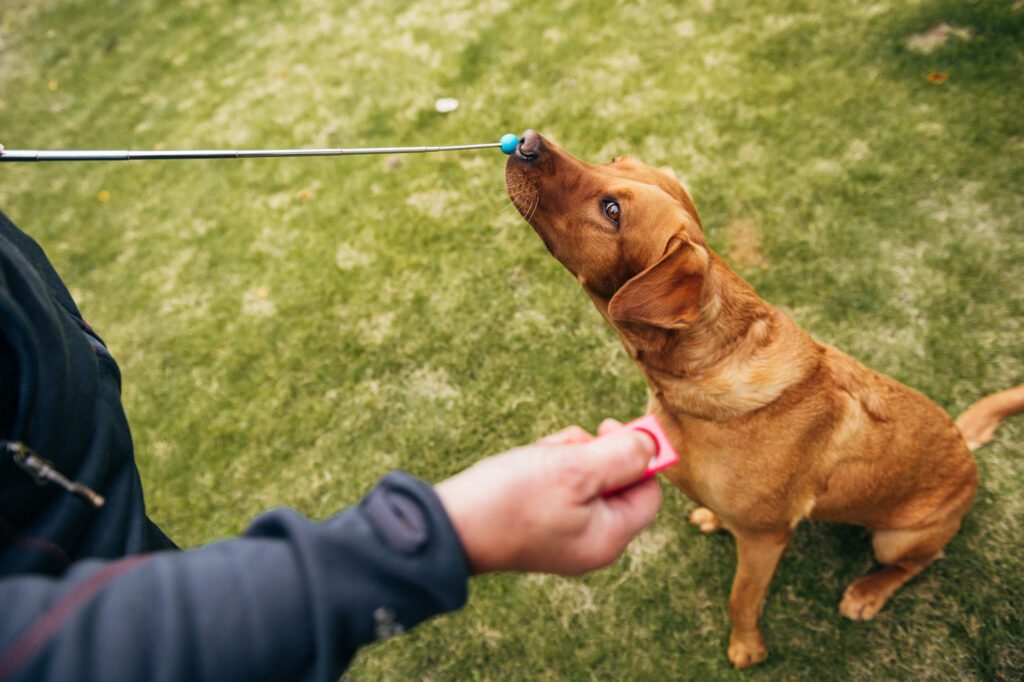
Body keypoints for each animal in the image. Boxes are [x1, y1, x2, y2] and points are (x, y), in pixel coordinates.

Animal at [505, 130, 1024, 667]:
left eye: (612, 211)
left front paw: (746, 648)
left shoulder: (764, 538)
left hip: (897, 538)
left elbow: (742, 598)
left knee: (919, 561)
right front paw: (713, 518)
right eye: (611, 159)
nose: (526, 141)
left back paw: (869, 591)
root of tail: (963, 443)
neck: (699, 374)